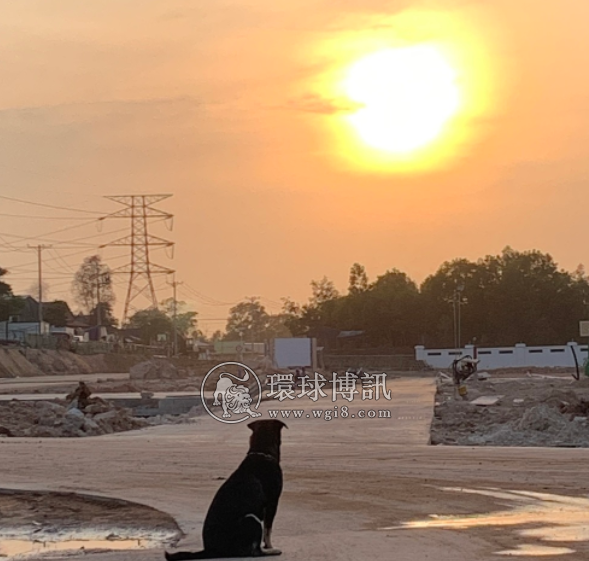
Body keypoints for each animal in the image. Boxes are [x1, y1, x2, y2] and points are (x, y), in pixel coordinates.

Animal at [165, 418, 288, 556]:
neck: (262, 453)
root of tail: (210, 550)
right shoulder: (272, 502)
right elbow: (268, 530)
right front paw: (269, 546)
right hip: (250, 519)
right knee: (253, 551)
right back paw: (271, 551)